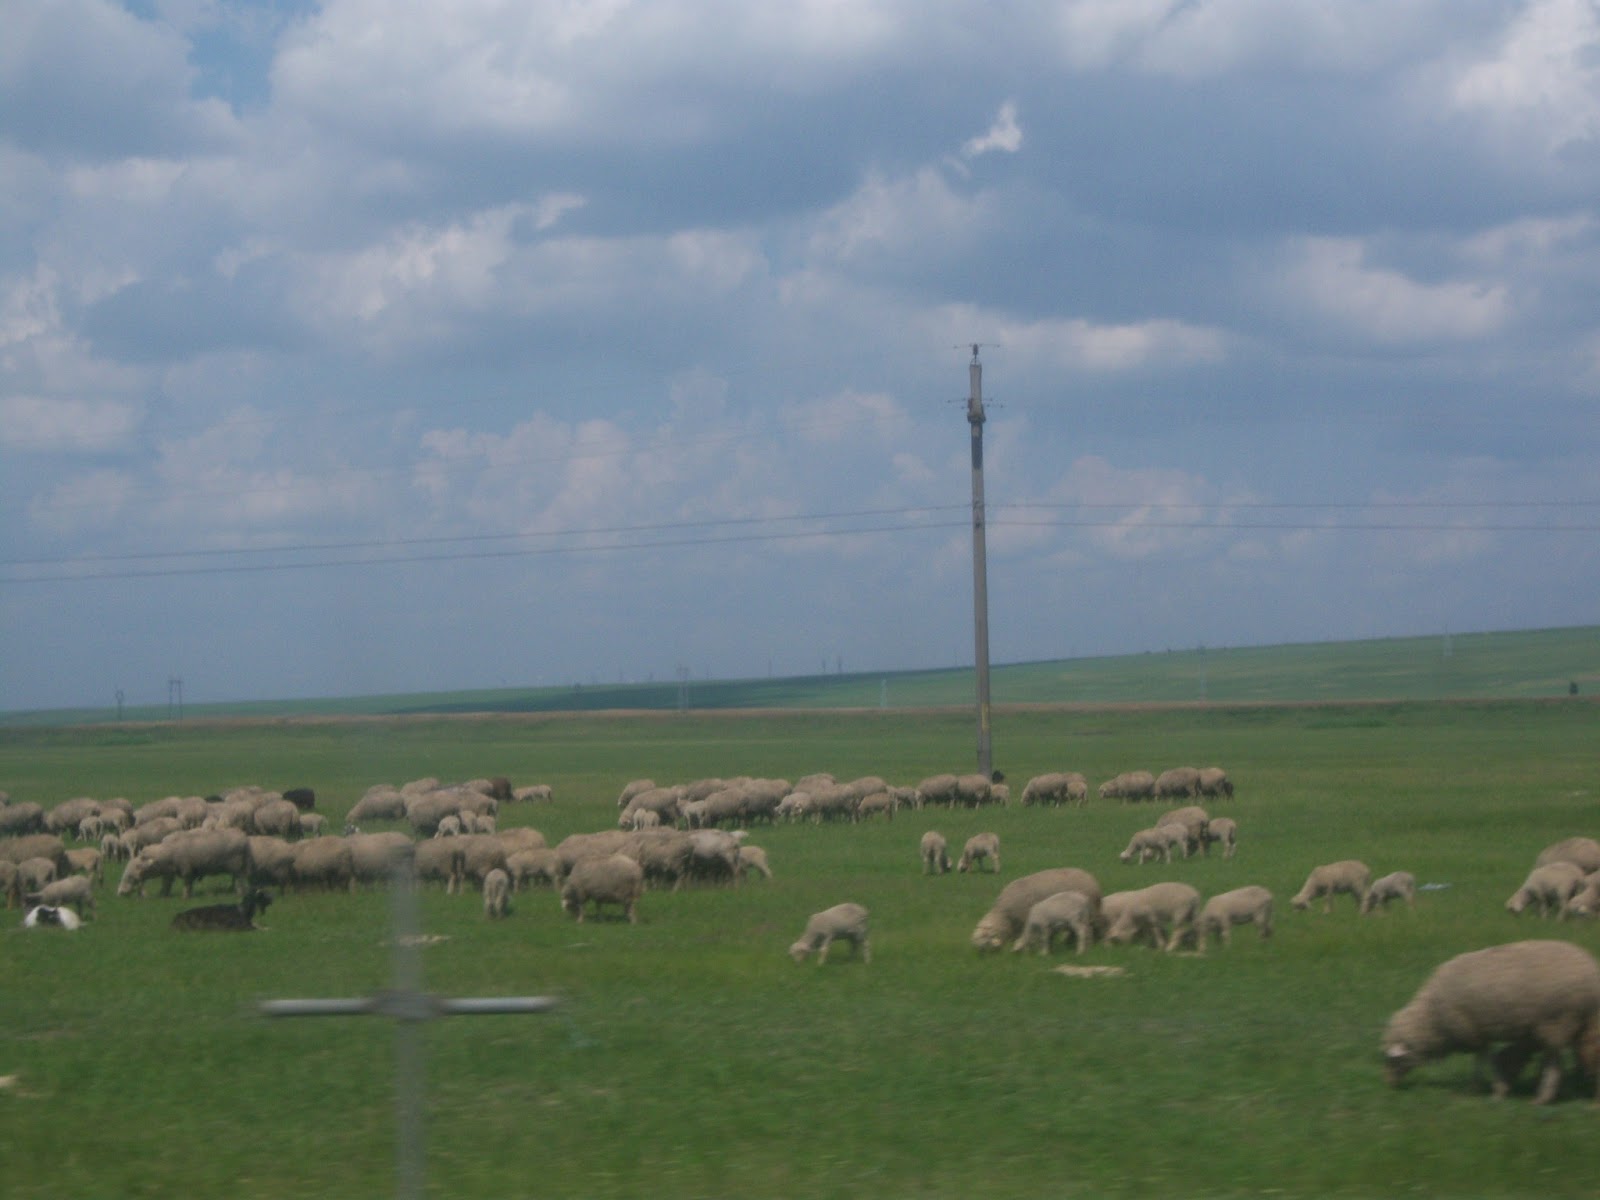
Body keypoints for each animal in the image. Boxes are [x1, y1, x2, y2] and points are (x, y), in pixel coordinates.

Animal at [972, 870, 1100, 953]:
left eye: (986, 942)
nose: (981, 956)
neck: (1004, 915)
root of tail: (1092, 879)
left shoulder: (1026, 922)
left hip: (1086, 915)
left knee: (1086, 930)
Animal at [1376, 940, 1600, 1107]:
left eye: (1393, 1060)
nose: (1389, 1083)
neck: (1432, 1016)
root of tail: (1590, 969)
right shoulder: (1479, 1031)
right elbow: (1488, 1057)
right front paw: (1491, 1086)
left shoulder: (1471, 1030)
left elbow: (1483, 1059)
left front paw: (1491, 1089)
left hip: (1556, 1021)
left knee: (1553, 1063)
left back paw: (1544, 1096)